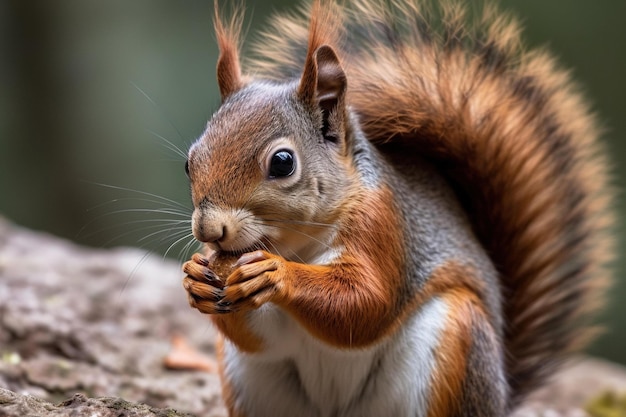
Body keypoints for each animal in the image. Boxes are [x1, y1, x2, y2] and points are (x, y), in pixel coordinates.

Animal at [179, 0, 608, 416]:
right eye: (190, 161)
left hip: (456, 339)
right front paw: (195, 277)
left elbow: (365, 302)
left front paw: (275, 273)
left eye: (283, 163)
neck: (297, 245)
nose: (209, 230)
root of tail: (501, 395)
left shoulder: (385, 226)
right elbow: (264, 336)